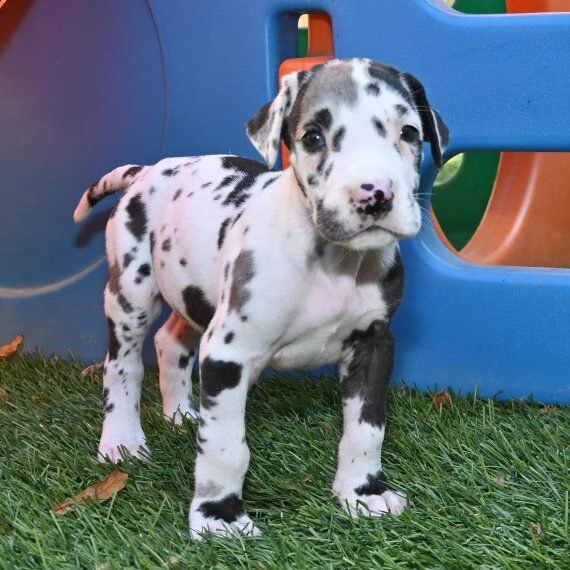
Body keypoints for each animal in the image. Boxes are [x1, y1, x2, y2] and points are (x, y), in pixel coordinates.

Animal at [73, 57, 446, 536]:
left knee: (169, 342)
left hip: (195, 297)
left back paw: (181, 414)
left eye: (409, 133)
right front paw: (220, 517)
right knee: (123, 366)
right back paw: (121, 440)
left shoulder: (374, 345)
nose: (374, 194)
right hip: (130, 295)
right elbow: (225, 447)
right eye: (313, 137)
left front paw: (363, 492)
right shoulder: (226, 355)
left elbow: (367, 429)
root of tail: (147, 171)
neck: (332, 265)